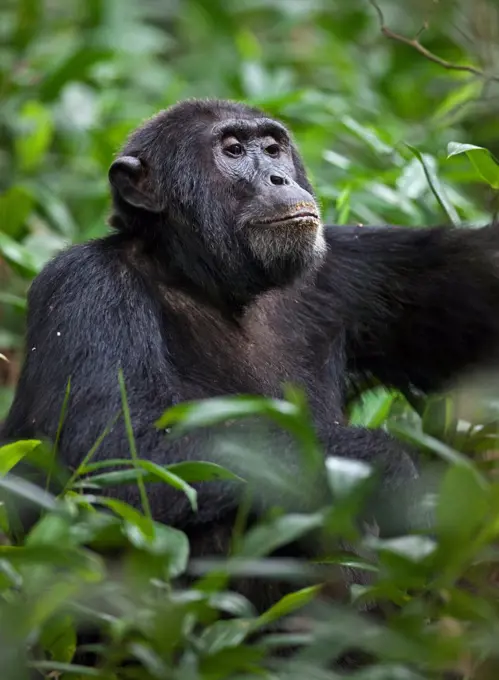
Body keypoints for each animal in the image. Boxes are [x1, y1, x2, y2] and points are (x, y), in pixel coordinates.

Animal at [2, 97, 499, 612]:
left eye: (273, 148)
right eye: (234, 150)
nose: (278, 178)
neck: (207, 283)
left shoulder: (351, 264)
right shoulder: (83, 286)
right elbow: (115, 453)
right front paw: (390, 467)